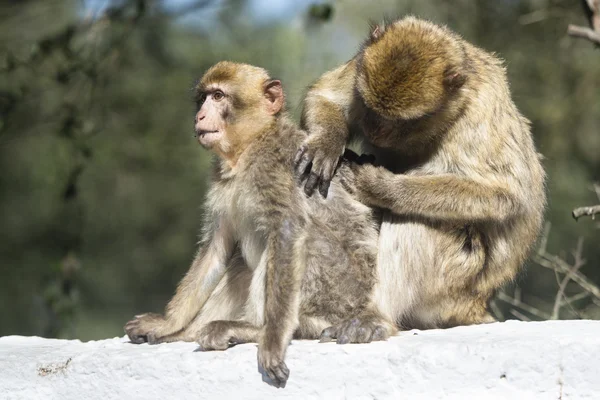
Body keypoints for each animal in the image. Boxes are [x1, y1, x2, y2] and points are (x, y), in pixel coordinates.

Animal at [125, 61, 396, 384]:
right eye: (203, 97)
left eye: (218, 96)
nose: (200, 116)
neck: (250, 147)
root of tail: (366, 304)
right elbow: (216, 248)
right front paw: (168, 324)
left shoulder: (276, 167)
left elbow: (288, 229)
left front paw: (273, 340)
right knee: (240, 263)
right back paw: (188, 332)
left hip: (337, 295)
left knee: (296, 243)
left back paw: (253, 329)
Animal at [298, 16, 548, 332]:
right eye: (370, 109)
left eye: (401, 122)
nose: (375, 129)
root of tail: (476, 304)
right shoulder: (359, 68)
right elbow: (325, 95)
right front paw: (326, 144)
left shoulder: (479, 111)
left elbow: (506, 195)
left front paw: (377, 186)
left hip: (454, 283)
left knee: (420, 219)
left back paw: (375, 314)